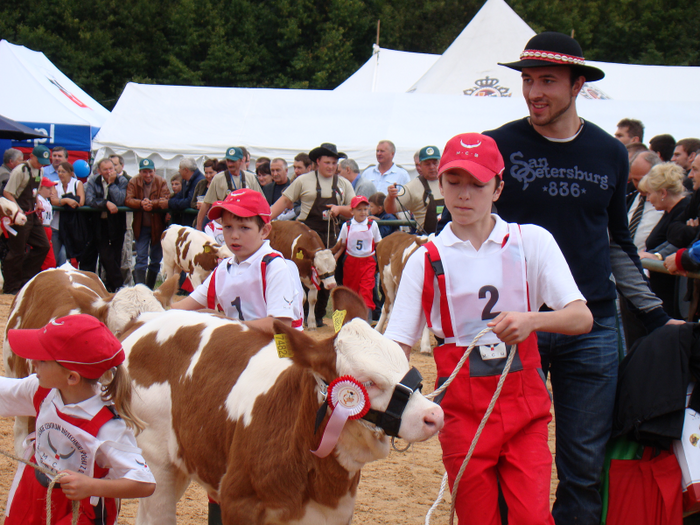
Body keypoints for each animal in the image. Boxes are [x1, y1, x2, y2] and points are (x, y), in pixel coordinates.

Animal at [123, 286, 442, 524]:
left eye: (403, 362)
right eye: (369, 382)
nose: (433, 415)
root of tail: (144, 320)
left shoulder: (336, 514)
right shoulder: (237, 502)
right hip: (156, 461)